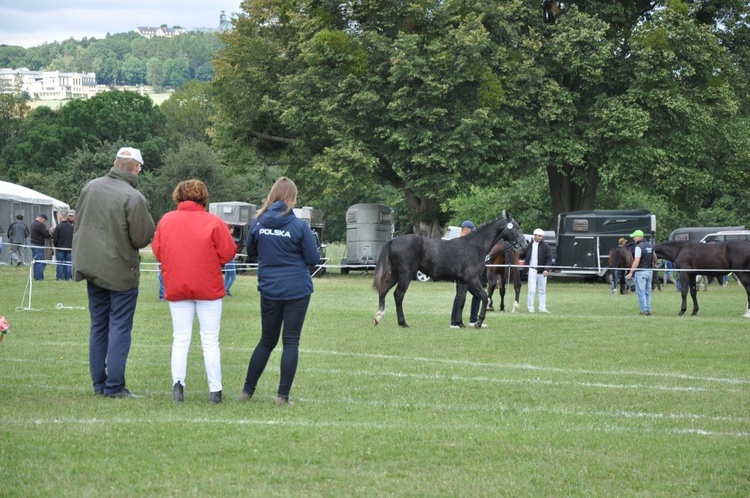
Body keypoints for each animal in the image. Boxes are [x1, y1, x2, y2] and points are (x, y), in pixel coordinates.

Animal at [374, 212, 528, 328]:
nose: (525, 245)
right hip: (406, 275)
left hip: (396, 274)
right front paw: (478, 322)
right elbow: (484, 297)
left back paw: (378, 317)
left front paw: (460, 323)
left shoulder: (463, 281)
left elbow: (461, 300)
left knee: (384, 291)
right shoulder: (472, 279)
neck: (474, 246)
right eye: (515, 227)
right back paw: (403, 323)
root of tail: (393, 241)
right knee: (398, 295)